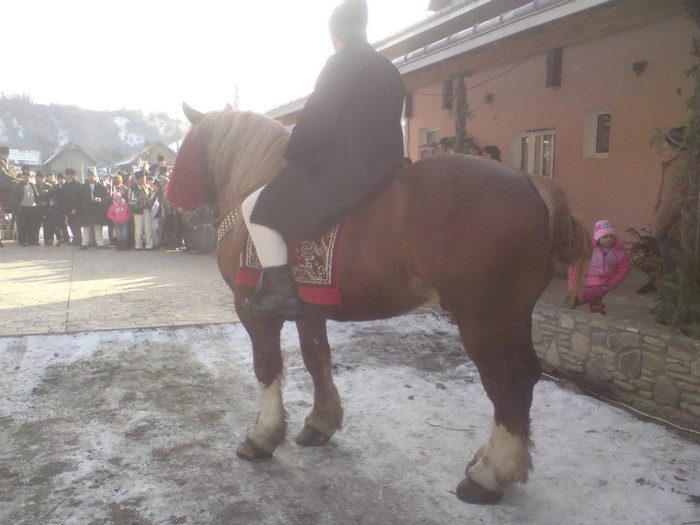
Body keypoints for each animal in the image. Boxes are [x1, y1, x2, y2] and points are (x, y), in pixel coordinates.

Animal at [170, 103, 592, 504]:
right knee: (525, 378)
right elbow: (317, 360)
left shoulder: (252, 312)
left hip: (482, 321)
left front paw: (262, 435)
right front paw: (321, 422)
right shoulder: (310, 312)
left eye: (186, 146)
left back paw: (490, 473)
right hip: (514, 316)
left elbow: (267, 367)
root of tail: (529, 181)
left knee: (506, 383)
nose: (174, 202)